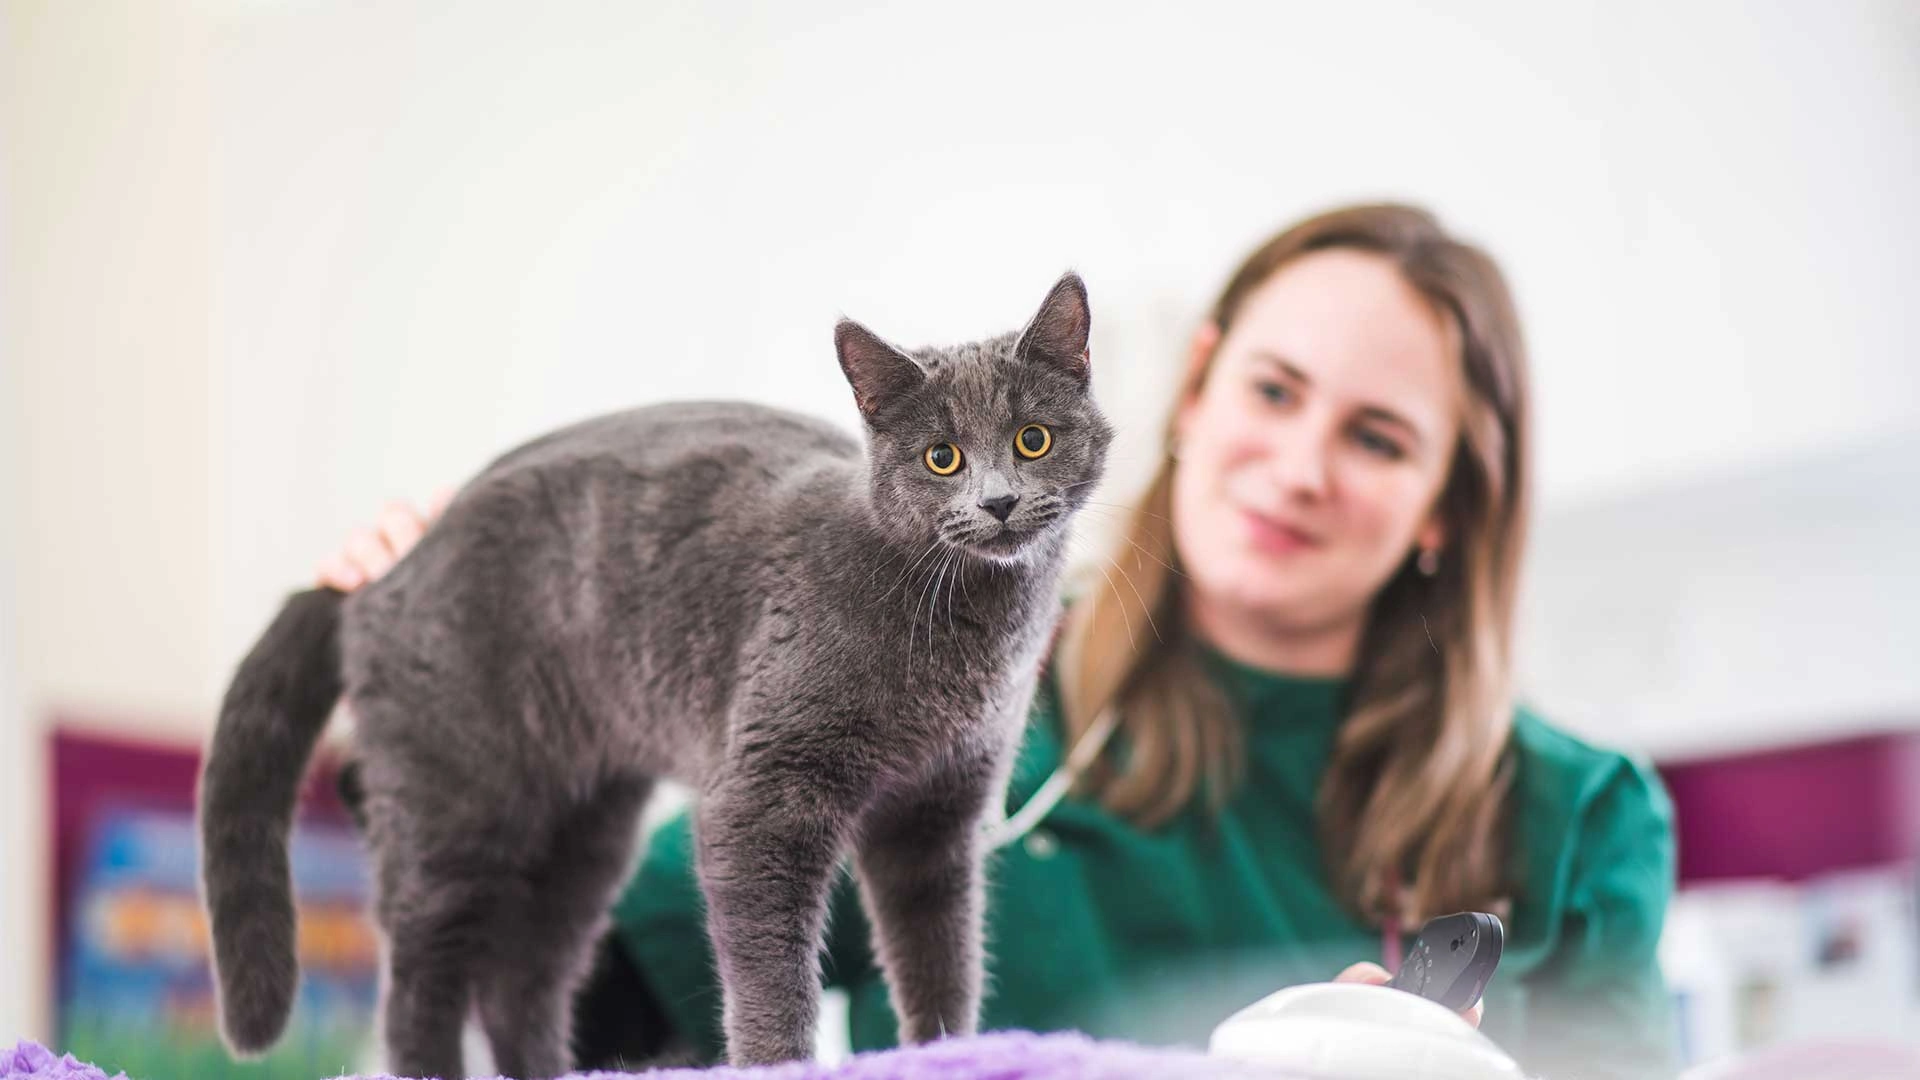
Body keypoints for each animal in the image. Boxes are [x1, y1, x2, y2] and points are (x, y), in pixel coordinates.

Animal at [194, 272, 1113, 1068]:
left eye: (1033, 440)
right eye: (942, 458)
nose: (998, 501)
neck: (965, 639)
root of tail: (381, 575)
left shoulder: (938, 815)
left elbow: (938, 958)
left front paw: (948, 1053)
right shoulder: (762, 795)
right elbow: (772, 974)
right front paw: (779, 1063)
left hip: (585, 832)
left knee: (524, 980)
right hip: (455, 804)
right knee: (421, 978)